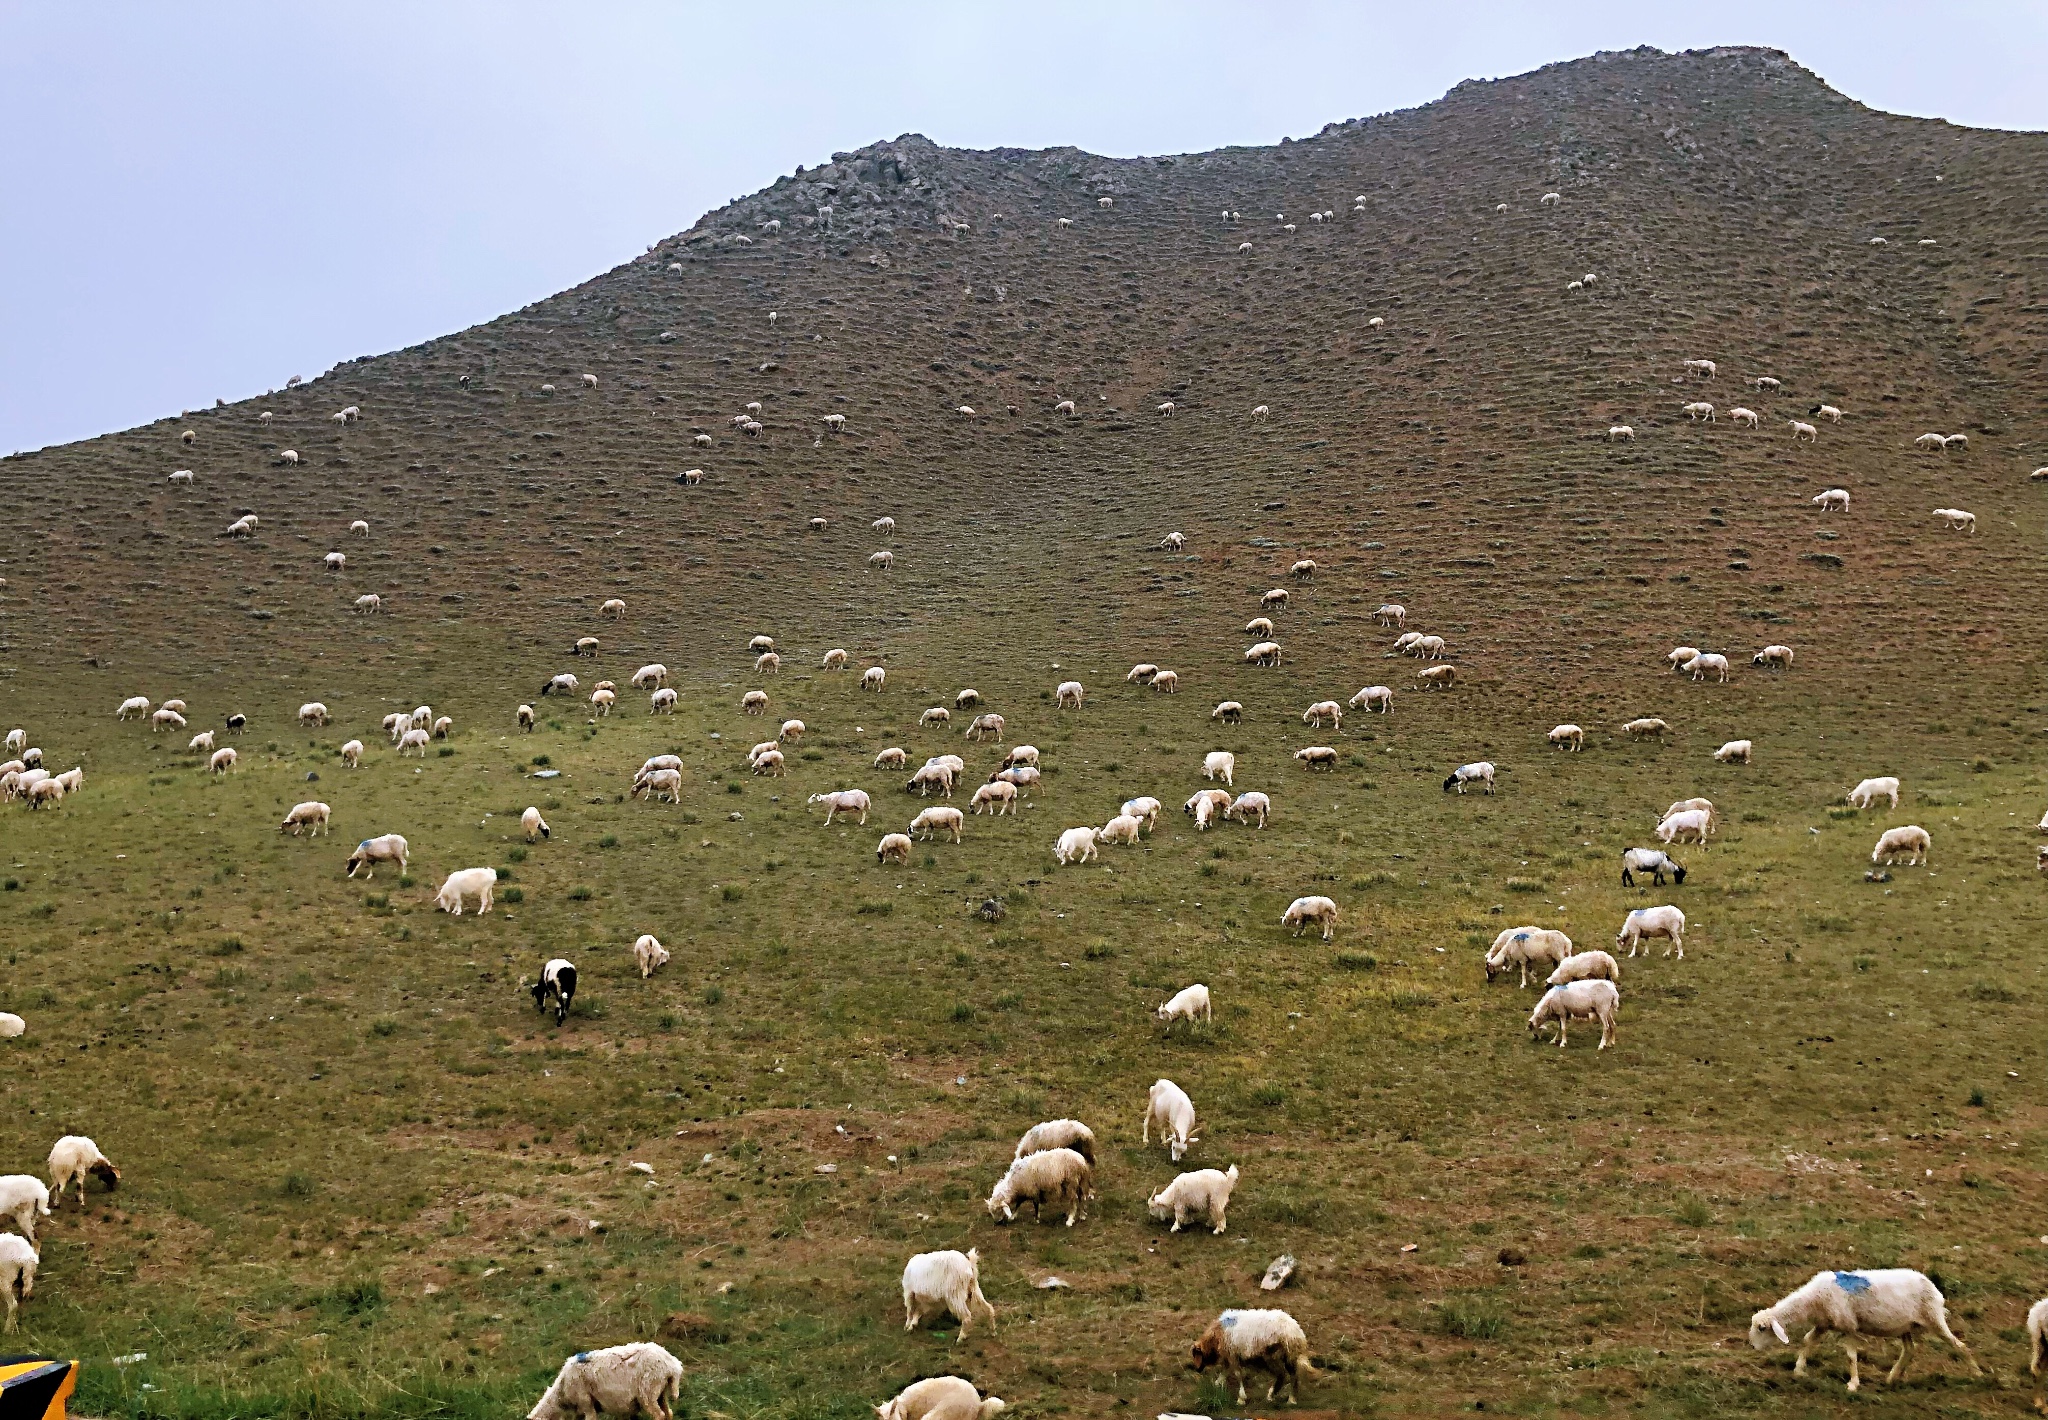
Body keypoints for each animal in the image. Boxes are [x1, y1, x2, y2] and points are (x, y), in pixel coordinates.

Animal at [524, 1344, 684, 1417]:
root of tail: (672, 1365)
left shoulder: (586, 1403)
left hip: (648, 1391)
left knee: (660, 1415)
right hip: (659, 1392)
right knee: (668, 1413)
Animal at [1744, 1270, 1982, 1393]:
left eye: (1762, 1328)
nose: (1752, 1346)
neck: (1813, 1300)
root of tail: (1933, 1285)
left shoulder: (1848, 1326)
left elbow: (1851, 1356)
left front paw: (1853, 1384)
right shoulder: (1824, 1324)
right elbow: (1807, 1341)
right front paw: (1799, 1370)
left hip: (1933, 1318)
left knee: (1959, 1345)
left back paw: (1978, 1374)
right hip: (1904, 1326)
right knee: (1909, 1350)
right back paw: (1893, 1377)